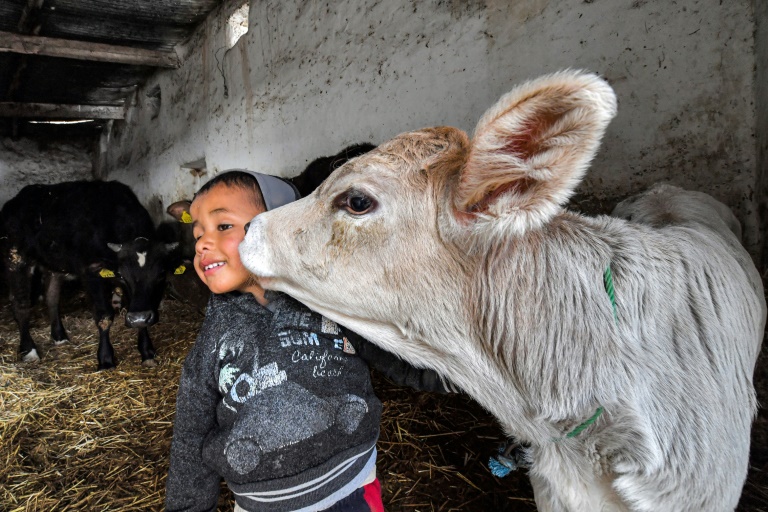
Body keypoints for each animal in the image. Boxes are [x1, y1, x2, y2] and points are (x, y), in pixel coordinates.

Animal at [0, 182, 177, 370]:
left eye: (161, 274)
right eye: (121, 275)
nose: (138, 317)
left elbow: (139, 313)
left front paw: (146, 351)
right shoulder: (92, 272)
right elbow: (104, 316)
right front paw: (105, 359)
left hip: (54, 265)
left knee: (52, 298)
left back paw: (59, 336)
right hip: (16, 258)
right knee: (21, 304)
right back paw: (29, 350)